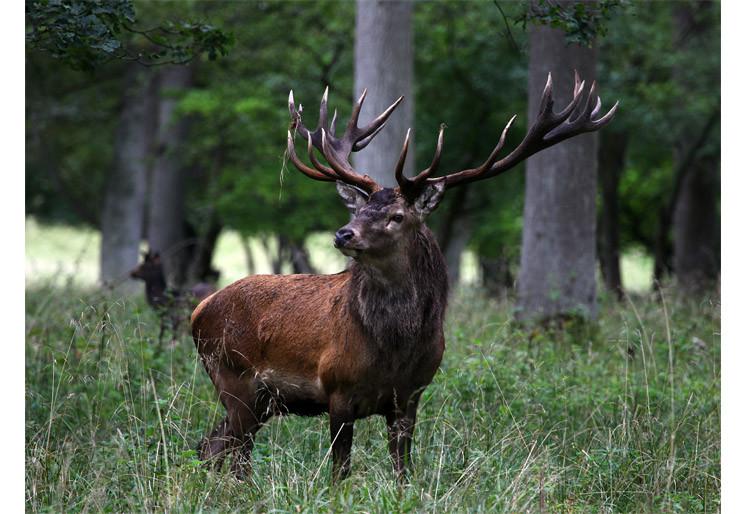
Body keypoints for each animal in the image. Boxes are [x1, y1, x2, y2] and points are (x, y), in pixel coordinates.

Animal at [190, 72, 617, 481]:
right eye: (359, 210)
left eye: (396, 216)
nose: (343, 234)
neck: (394, 349)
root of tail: (199, 310)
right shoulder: (337, 389)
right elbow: (340, 471)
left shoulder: (410, 395)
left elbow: (403, 470)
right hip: (234, 378)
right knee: (230, 451)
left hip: (261, 400)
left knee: (213, 445)